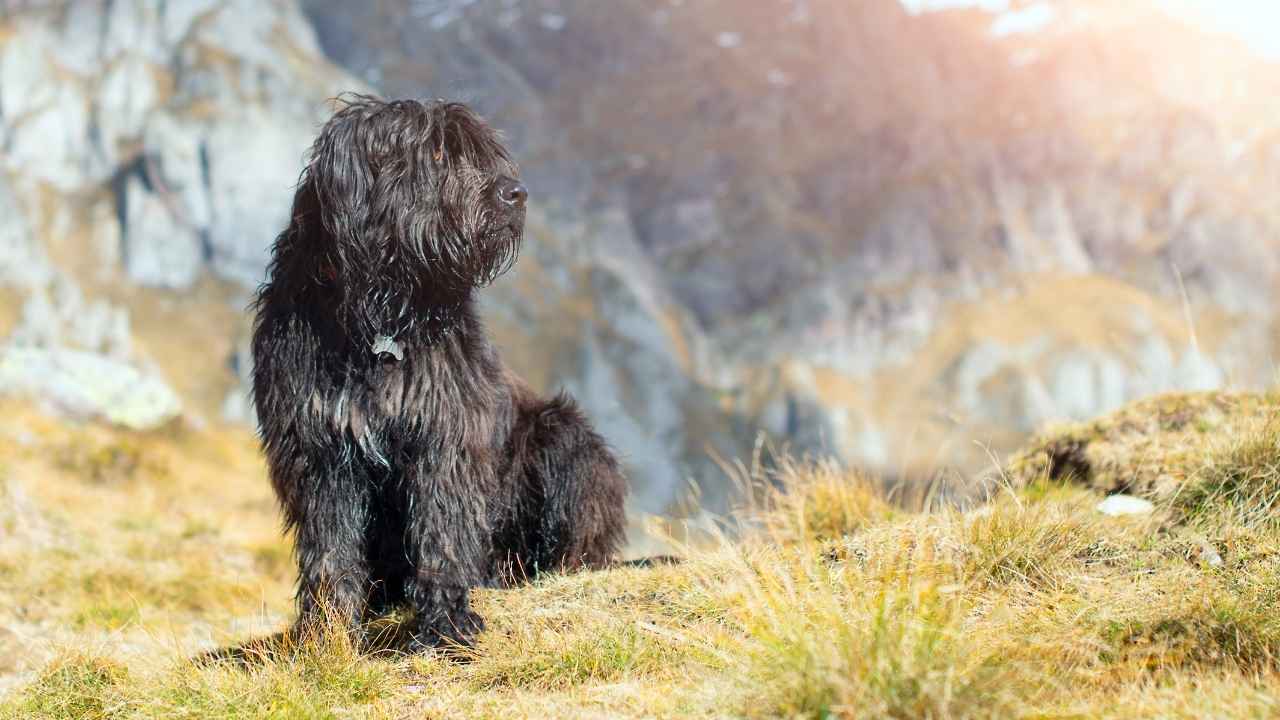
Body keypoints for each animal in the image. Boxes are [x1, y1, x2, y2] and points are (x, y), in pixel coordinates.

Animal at [248, 95, 624, 650]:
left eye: (484, 153)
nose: (516, 194)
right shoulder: (319, 449)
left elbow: (442, 528)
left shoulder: (447, 432)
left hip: (563, 435)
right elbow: (330, 546)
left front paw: (445, 623)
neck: (380, 318)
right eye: (439, 154)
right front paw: (328, 633)